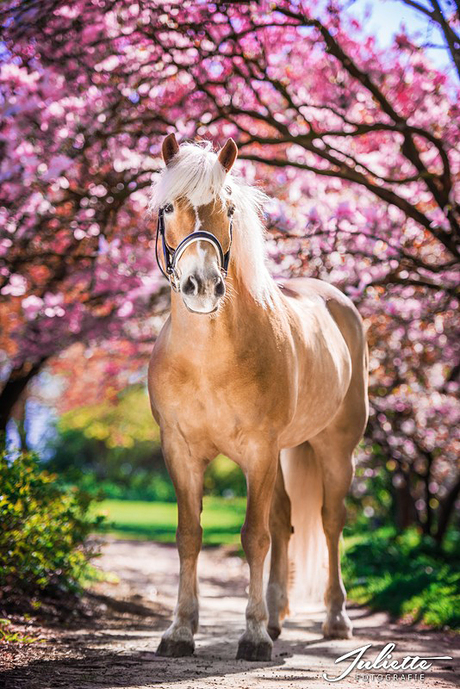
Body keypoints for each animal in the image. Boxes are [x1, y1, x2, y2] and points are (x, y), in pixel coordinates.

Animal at [149, 134, 368, 660]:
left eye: (227, 208)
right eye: (167, 207)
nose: (203, 286)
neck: (207, 359)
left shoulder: (259, 451)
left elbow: (253, 536)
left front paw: (251, 636)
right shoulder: (180, 452)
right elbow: (189, 535)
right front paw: (181, 630)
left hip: (334, 451)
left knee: (330, 522)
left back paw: (335, 619)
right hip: (285, 455)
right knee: (286, 521)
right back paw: (276, 616)